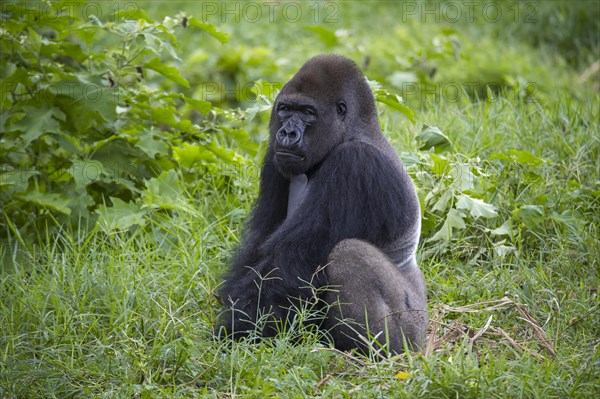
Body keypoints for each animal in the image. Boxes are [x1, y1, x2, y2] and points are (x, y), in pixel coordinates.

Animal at [218, 54, 428, 354]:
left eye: (308, 112)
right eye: (285, 109)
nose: (287, 133)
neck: (352, 132)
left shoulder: (355, 163)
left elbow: (290, 262)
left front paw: (238, 332)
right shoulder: (274, 158)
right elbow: (260, 247)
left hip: (413, 329)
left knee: (349, 253)